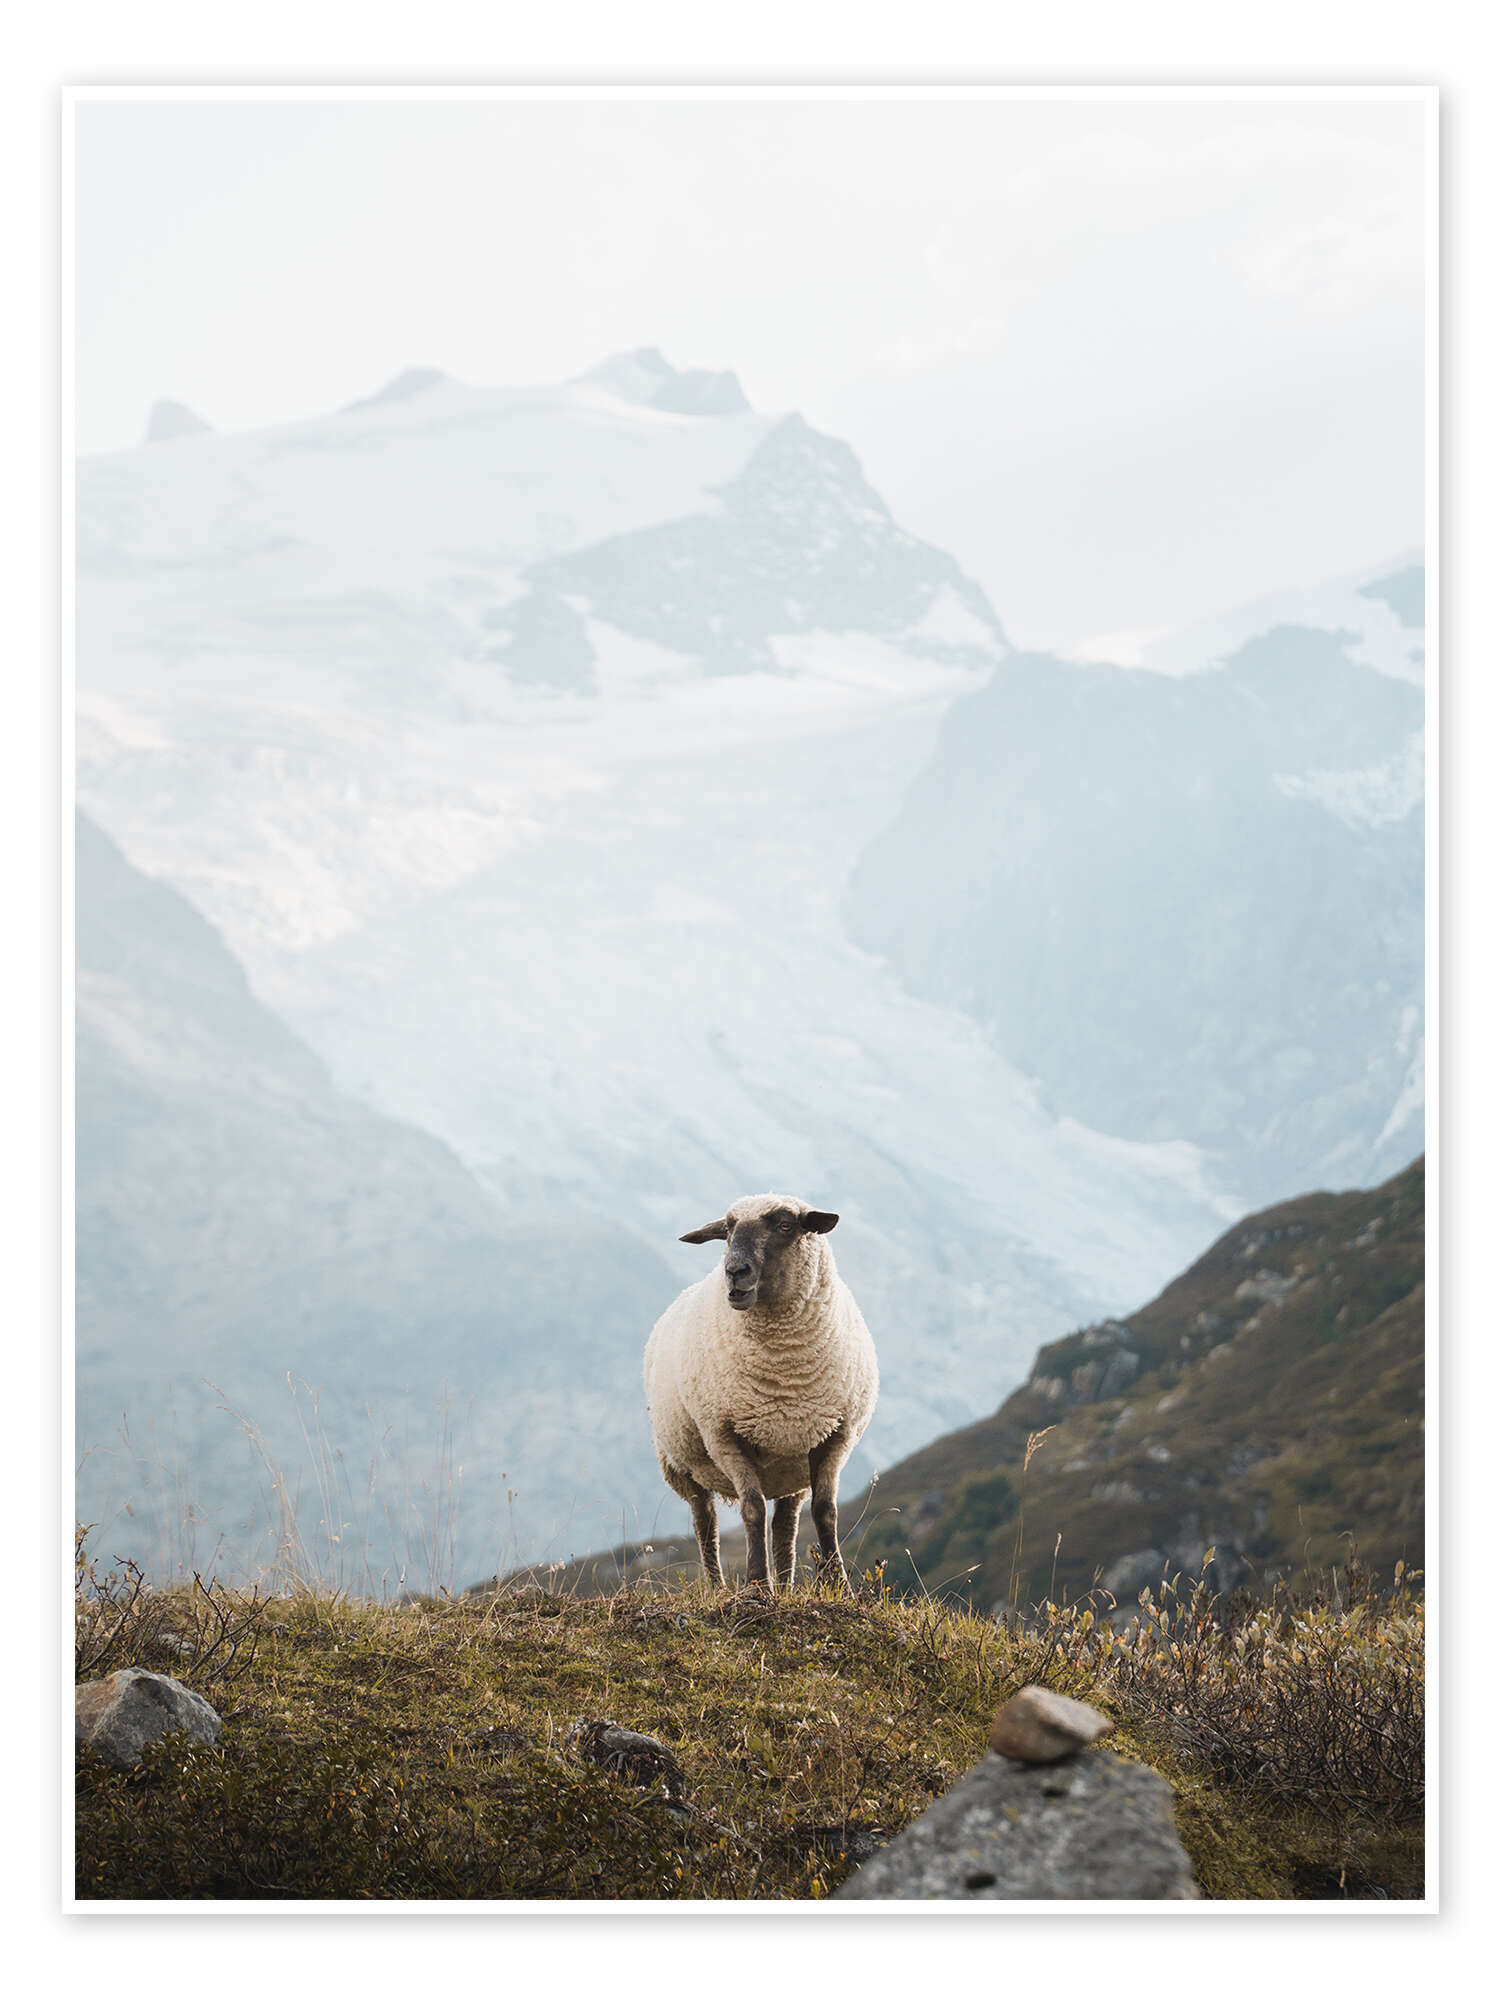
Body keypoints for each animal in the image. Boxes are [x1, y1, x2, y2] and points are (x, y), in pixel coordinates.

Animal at [643, 1192, 878, 1593]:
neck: (786, 1375)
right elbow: (752, 1508)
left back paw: (786, 1587)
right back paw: (720, 1587)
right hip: (683, 1464)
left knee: (785, 1524)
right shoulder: (724, 1435)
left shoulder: (837, 1435)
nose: (735, 1271)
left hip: (792, 1466)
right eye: (727, 1230)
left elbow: (825, 1512)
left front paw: (840, 1586)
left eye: (786, 1225)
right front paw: (756, 1586)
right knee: (706, 1523)